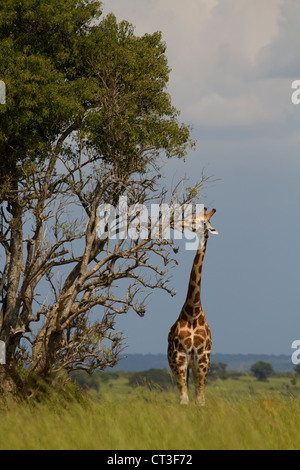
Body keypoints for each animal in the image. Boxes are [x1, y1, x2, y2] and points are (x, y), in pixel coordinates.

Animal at [166, 207, 218, 406]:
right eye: (193, 217)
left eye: (202, 222)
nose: (178, 222)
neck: (193, 311)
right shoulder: (180, 357)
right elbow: (184, 400)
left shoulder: (203, 359)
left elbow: (200, 400)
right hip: (174, 362)